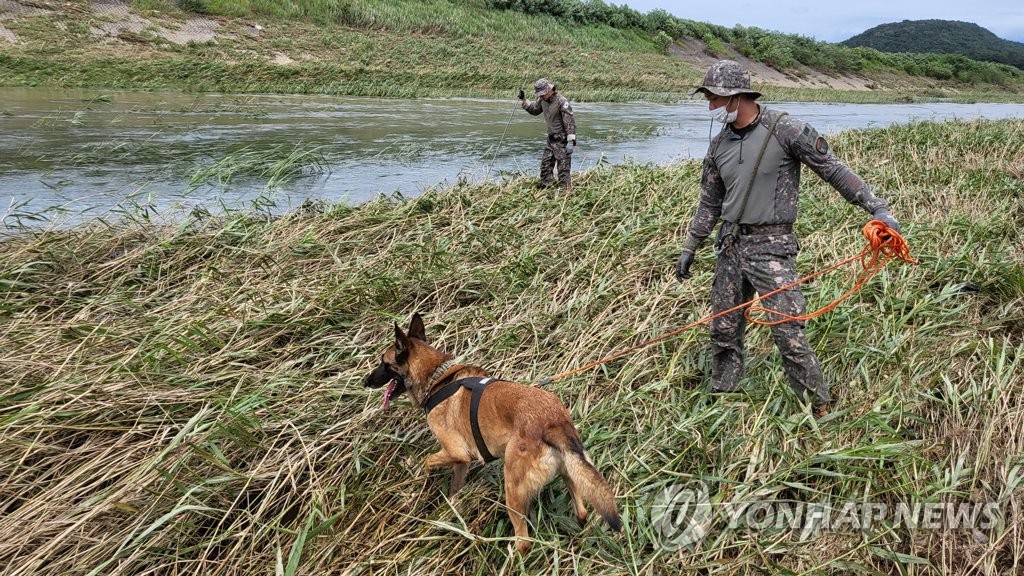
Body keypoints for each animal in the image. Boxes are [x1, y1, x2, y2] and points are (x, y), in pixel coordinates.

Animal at [362, 313, 614, 553]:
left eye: (383, 363)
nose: (365, 382)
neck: (436, 377)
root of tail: (553, 422)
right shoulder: (461, 462)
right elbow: (455, 487)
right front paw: (452, 508)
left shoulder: (456, 452)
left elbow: (427, 461)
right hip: (572, 475)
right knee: (581, 511)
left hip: (512, 489)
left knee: (524, 542)